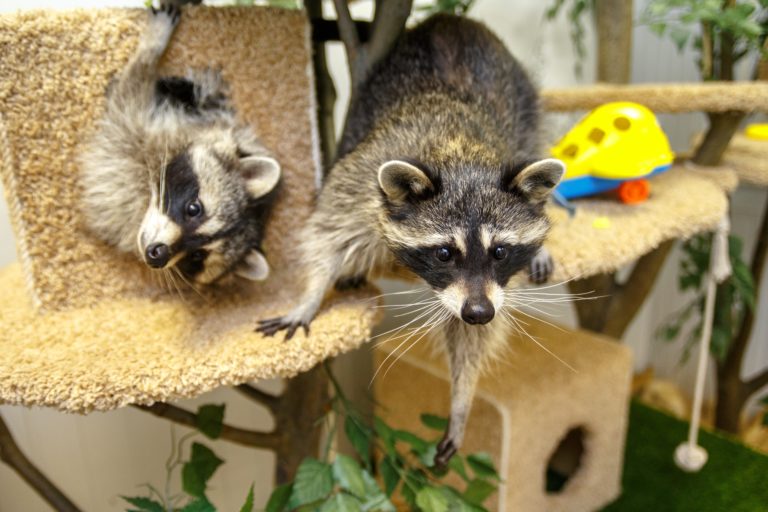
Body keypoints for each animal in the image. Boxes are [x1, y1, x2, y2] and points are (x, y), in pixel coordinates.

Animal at [79, 5, 281, 286]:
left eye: (197, 255)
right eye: (194, 209)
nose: (157, 255)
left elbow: (128, 90)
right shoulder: (139, 132)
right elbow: (132, 86)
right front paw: (151, 47)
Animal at [258, 14, 564, 464]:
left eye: (500, 252)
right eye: (444, 253)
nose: (479, 312)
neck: (459, 153)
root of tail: (450, 18)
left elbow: (468, 335)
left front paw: (462, 396)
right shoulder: (364, 180)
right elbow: (328, 233)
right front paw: (310, 295)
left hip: (523, 97)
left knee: (534, 135)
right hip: (366, 103)